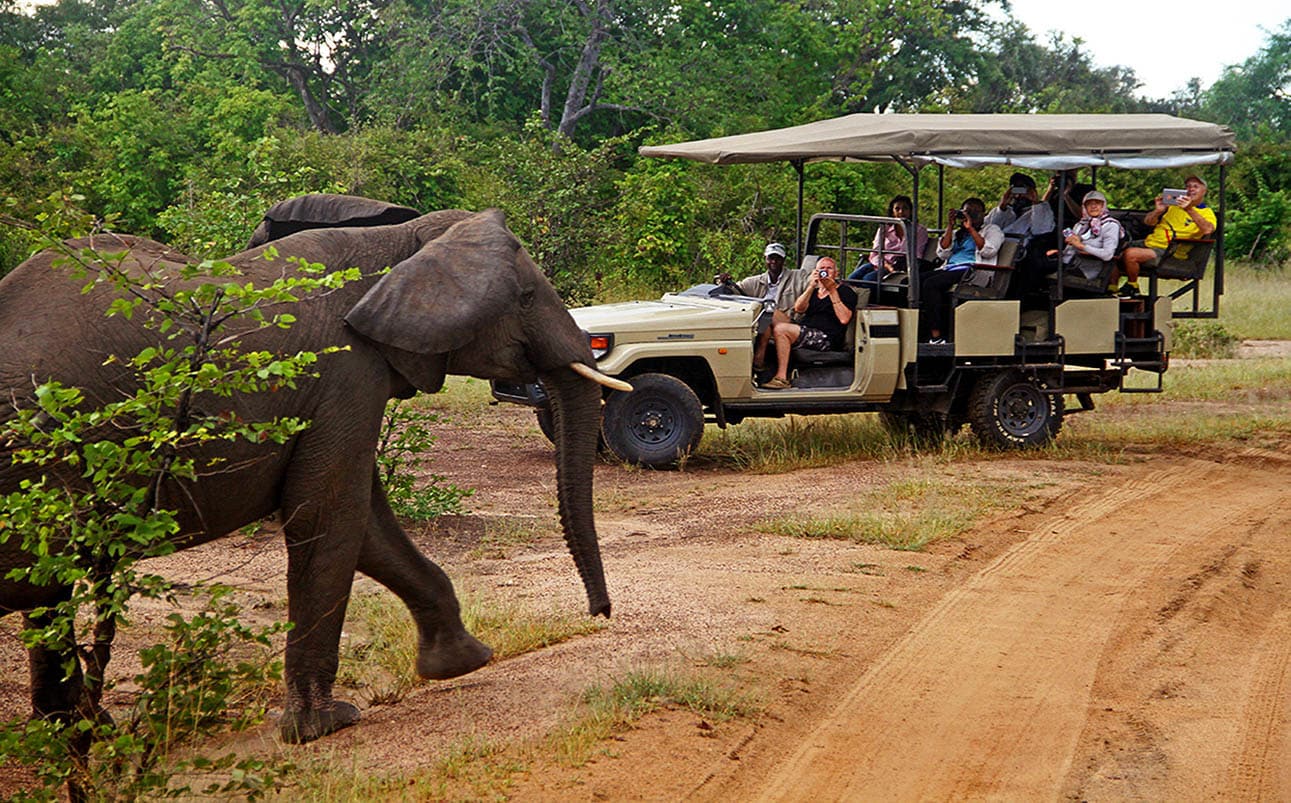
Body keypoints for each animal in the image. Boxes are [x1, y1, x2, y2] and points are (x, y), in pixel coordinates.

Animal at [0, 203, 624, 743]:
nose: (601, 614)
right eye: (526, 297)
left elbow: (366, 522)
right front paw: (324, 726)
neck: (401, 243)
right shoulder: (344, 373)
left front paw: (464, 662)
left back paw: (81, 731)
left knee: (46, 594)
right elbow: (329, 513)